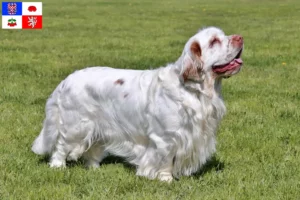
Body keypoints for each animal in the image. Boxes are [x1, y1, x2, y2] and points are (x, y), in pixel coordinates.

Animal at [32, 27, 244, 182]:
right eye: (214, 41)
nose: (240, 37)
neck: (194, 90)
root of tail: (66, 80)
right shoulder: (166, 138)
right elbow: (166, 160)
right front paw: (166, 180)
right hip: (76, 126)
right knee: (61, 146)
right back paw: (57, 166)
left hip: (99, 127)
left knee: (93, 149)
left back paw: (94, 169)